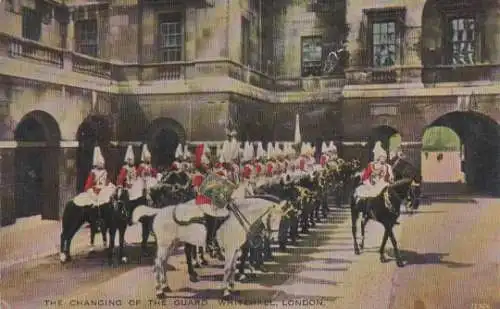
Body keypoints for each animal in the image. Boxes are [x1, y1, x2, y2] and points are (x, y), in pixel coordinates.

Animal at [133, 196, 286, 298]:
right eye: (271, 218)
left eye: (281, 219)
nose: (273, 238)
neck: (237, 219)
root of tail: (158, 212)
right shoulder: (230, 250)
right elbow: (228, 269)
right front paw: (226, 291)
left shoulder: (235, 250)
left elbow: (232, 268)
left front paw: (231, 287)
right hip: (165, 245)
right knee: (158, 264)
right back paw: (159, 291)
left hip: (172, 244)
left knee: (163, 263)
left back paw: (165, 286)